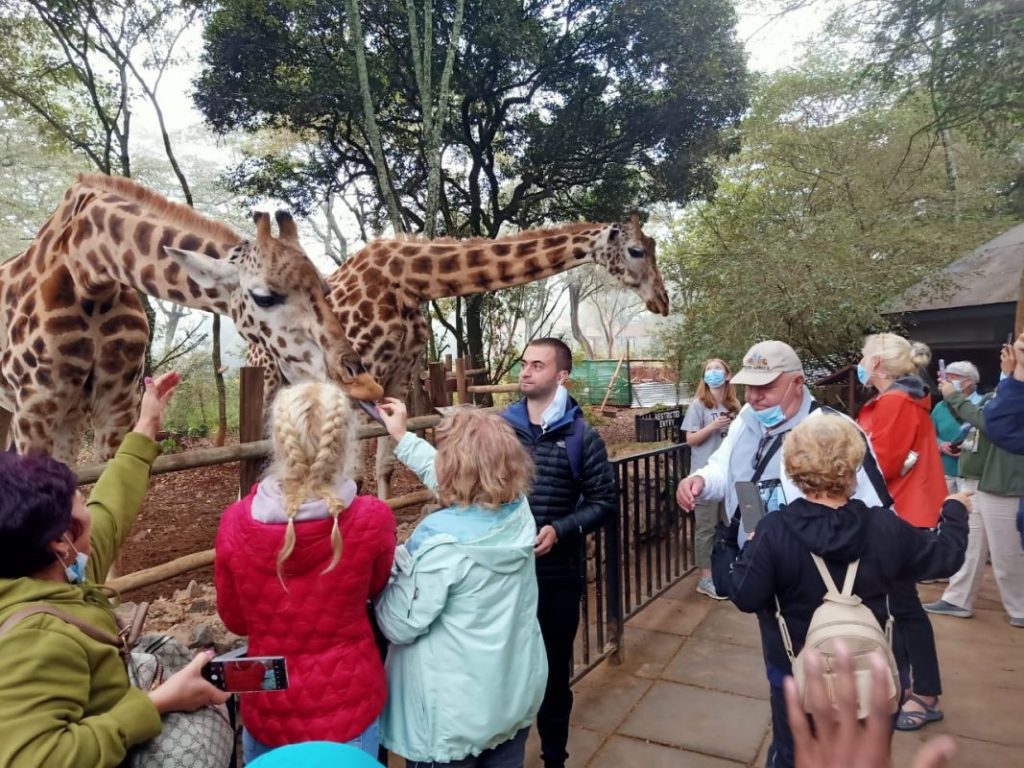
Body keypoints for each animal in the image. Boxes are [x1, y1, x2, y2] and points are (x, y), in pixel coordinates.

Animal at [0, 173, 383, 464]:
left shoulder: (116, 407)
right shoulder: (36, 408)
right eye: (264, 296)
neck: (90, 275)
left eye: (326, 289)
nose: (364, 384)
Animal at [249, 215, 670, 497]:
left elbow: (385, 465)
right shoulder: (357, 377)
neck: (408, 282)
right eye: (636, 251)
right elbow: (353, 476)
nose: (662, 301)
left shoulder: (397, 378)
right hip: (266, 376)